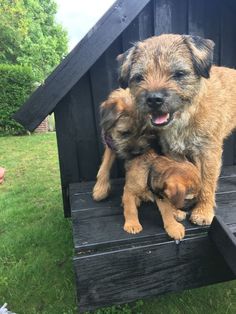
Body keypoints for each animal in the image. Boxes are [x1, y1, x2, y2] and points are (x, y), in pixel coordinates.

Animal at [118, 33, 236, 226]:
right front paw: (173, 209)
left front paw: (203, 211)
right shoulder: (172, 152)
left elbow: (207, 182)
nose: (153, 99)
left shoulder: (208, 152)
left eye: (179, 74)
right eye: (139, 77)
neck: (185, 117)